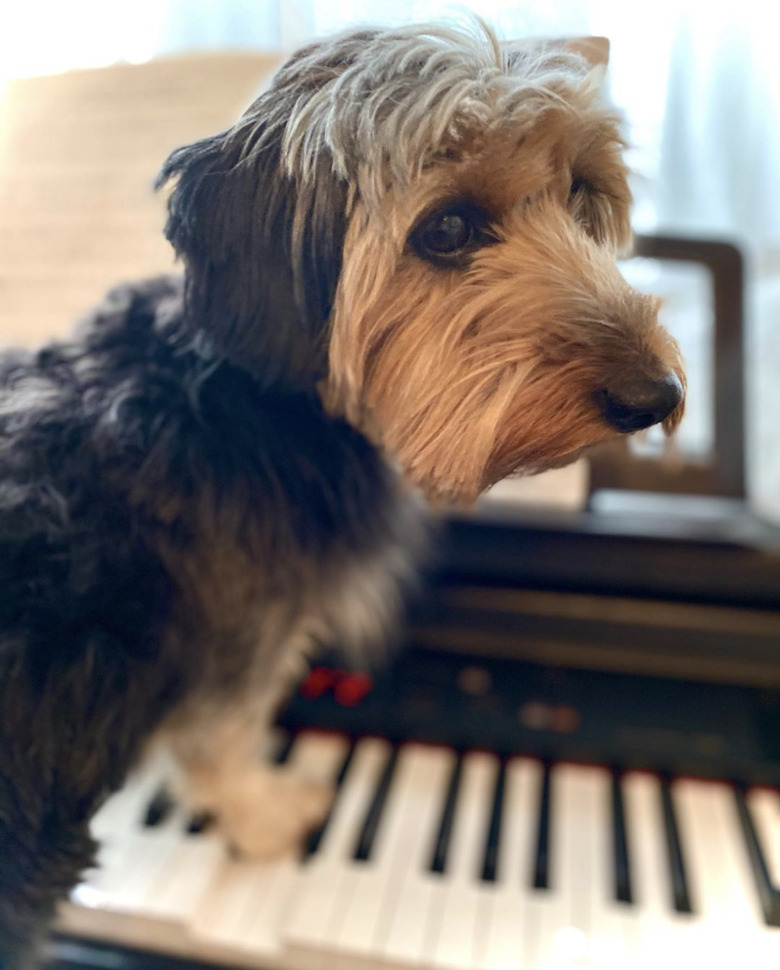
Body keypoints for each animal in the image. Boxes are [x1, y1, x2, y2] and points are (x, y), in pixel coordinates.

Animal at [0, 24, 684, 968]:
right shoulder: (237, 646)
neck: (254, 397)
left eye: (583, 192)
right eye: (446, 227)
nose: (657, 396)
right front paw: (266, 814)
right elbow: (223, 739)